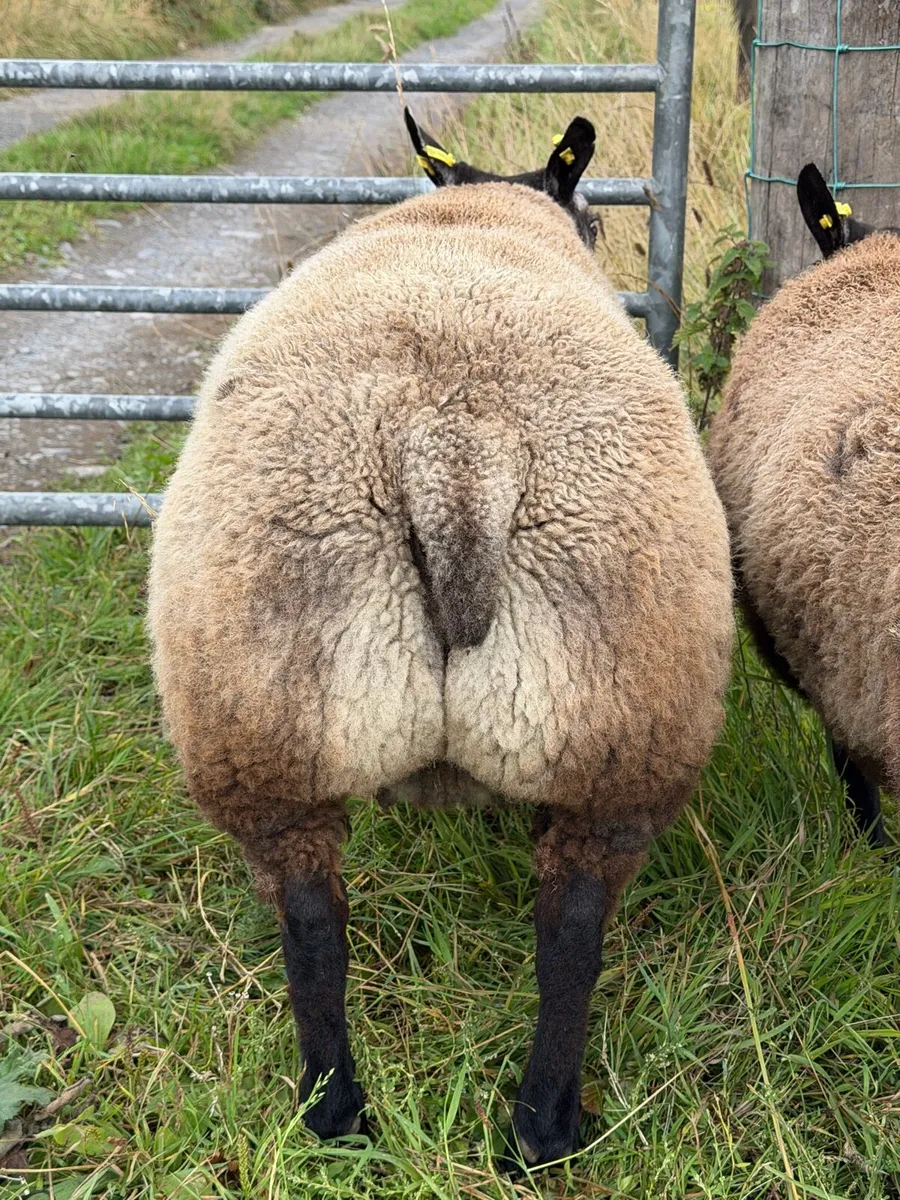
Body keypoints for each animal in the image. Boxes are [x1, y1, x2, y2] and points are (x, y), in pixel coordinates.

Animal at [147, 111, 733, 1168]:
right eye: (593, 221)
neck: (478, 214)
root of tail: (455, 452)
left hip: (265, 722)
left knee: (315, 926)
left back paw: (339, 1116)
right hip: (624, 730)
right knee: (570, 933)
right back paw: (543, 1130)